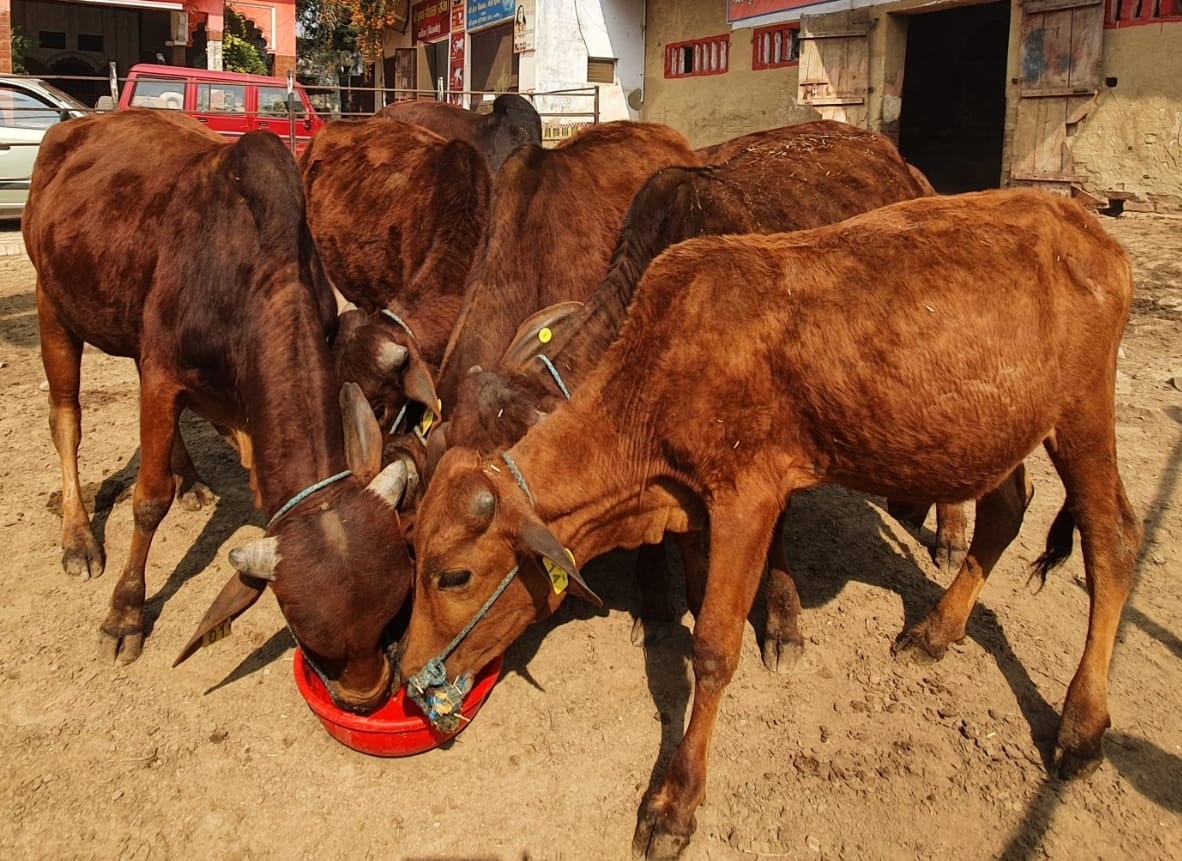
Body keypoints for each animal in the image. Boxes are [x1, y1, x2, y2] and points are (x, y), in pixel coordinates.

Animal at [26, 110, 414, 713]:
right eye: (310, 639)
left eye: (392, 614)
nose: (367, 698)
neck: (253, 273)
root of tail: (74, 126)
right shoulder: (163, 373)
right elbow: (147, 501)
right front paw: (124, 615)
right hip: (52, 304)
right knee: (65, 419)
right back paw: (79, 538)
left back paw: (190, 480)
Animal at [396, 190, 1139, 859]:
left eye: (453, 575)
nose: (406, 676)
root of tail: (1084, 226)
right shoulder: (693, 504)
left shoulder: (747, 497)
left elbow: (713, 649)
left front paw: (675, 804)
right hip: (1000, 428)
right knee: (1008, 508)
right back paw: (936, 630)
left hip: (1083, 415)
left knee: (1114, 543)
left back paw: (1081, 725)